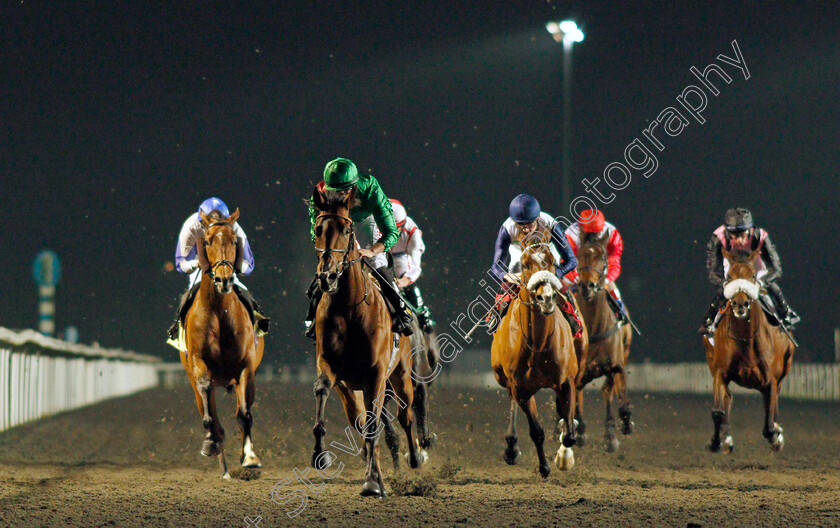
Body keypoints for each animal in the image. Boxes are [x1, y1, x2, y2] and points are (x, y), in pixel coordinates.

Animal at [179, 207, 264, 478]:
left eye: (235, 241)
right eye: (206, 241)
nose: (223, 280)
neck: (219, 312)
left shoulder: (246, 366)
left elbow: (244, 414)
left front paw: (250, 457)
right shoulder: (198, 362)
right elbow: (209, 404)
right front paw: (211, 442)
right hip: (193, 379)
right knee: (209, 410)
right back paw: (218, 454)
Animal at [310, 187, 426, 500]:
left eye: (346, 229)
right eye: (318, 229)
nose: (327, 276)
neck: (349, 307)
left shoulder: (376, 373)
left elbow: (377, 424)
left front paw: (373, 481)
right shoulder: (331, 369)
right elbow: (323, 391)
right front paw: (320, 454)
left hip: (401, 375)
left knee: (406, 414)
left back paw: (414, 457)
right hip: (353, 388)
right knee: (361, 421)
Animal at [488, 229, 580, 476]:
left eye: (553, 261)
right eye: (525, 264)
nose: (545, 297)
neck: (538, 344)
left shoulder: (566, 380)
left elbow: (569, 435)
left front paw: (564, 457)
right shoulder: (520, 387)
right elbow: (536, 431)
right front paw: (544, 466)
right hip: (504, 377)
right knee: (512, 399)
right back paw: (511, 447)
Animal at [576, 229, 632, 452]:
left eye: (602, 257)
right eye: (580, 255)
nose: (587, 285)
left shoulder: (614, 364)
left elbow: (611, 392)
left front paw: (616, 431)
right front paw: (578, 430)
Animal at [704, 245, 796, 452]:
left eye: (753, 275)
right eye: (729, 276)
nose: (740, 303)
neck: (745, 341)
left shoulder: (770, 379)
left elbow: (768, 427)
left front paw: (776, 436)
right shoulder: (720, 372)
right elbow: (717, 411)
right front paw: (715, 441)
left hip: (785, 366)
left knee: (775, 398)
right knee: (728, 397)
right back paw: (727, 438)